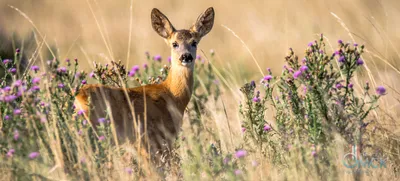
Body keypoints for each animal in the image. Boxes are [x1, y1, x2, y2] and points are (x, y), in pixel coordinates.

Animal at [74, 7, 214, 161]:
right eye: (174, 44)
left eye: (194, 42)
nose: (186, 56)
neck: (172, 95)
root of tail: (78, 98)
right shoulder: (155, 138)